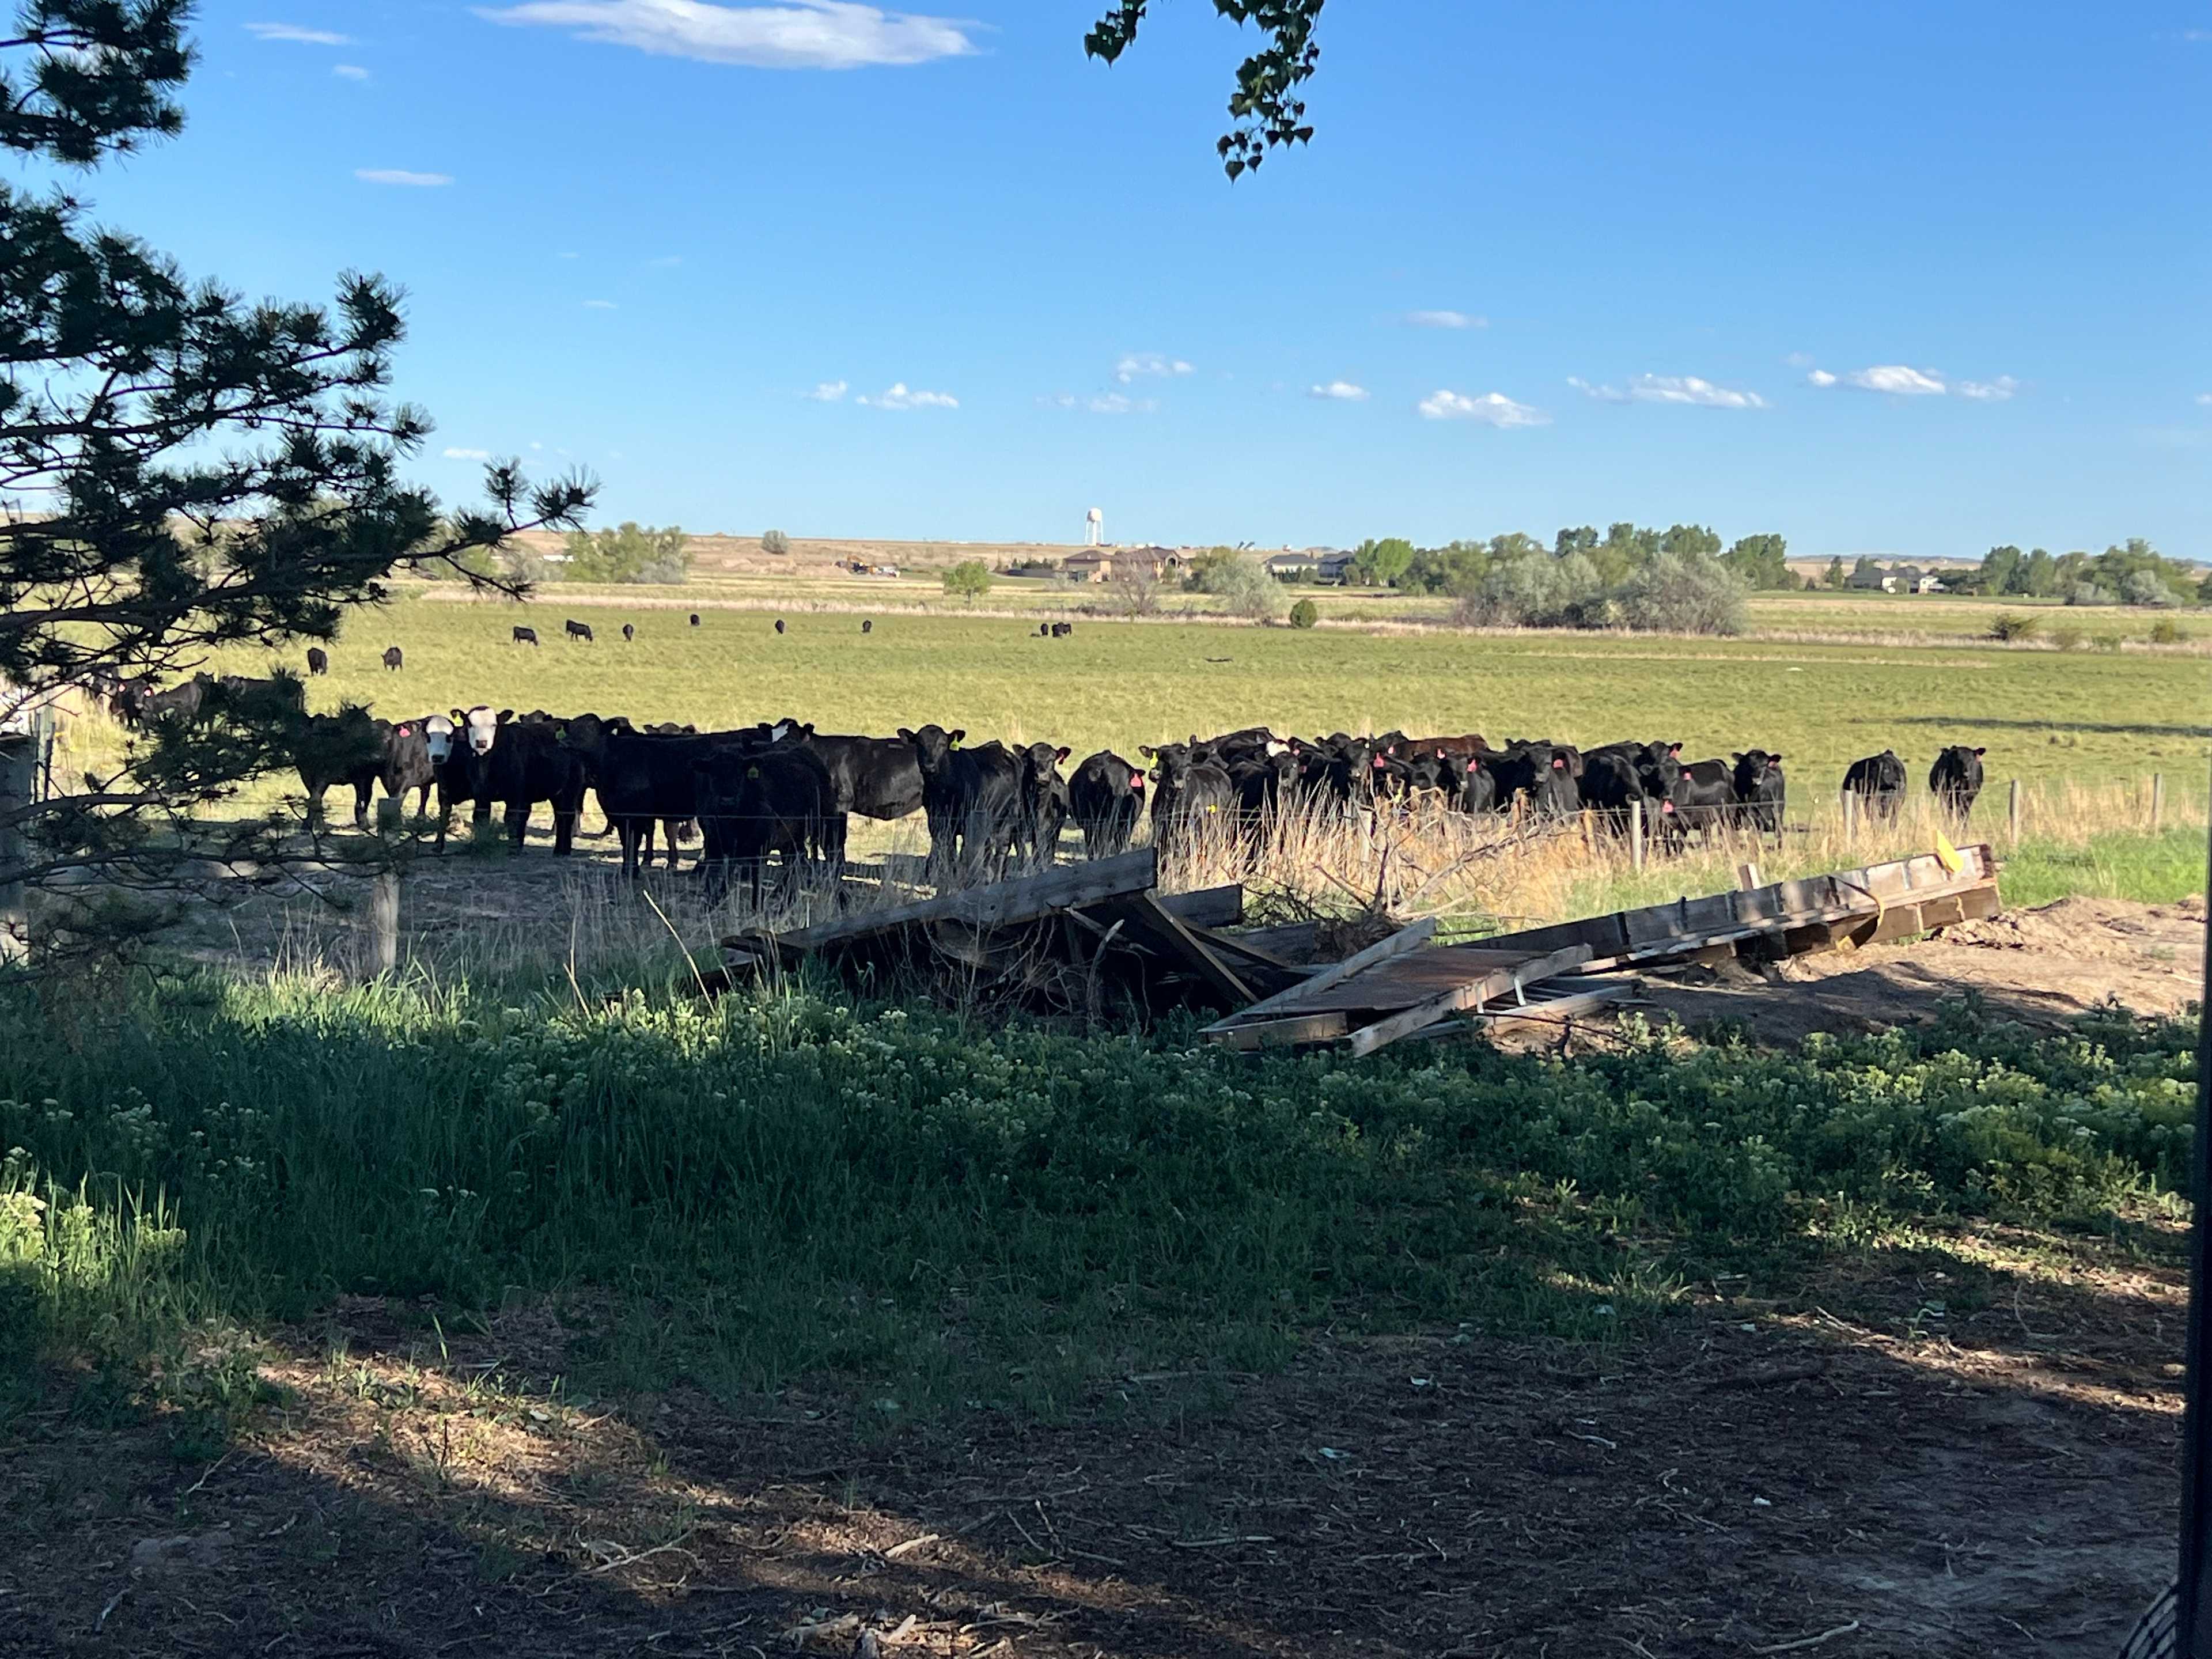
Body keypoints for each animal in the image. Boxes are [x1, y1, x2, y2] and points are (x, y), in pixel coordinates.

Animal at [1929, 745, 1986, 820]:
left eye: (1971, 760)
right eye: (1958, 761)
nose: (1966, 774)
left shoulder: (1970, 797)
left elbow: (1965, 813)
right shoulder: (1947, 795)